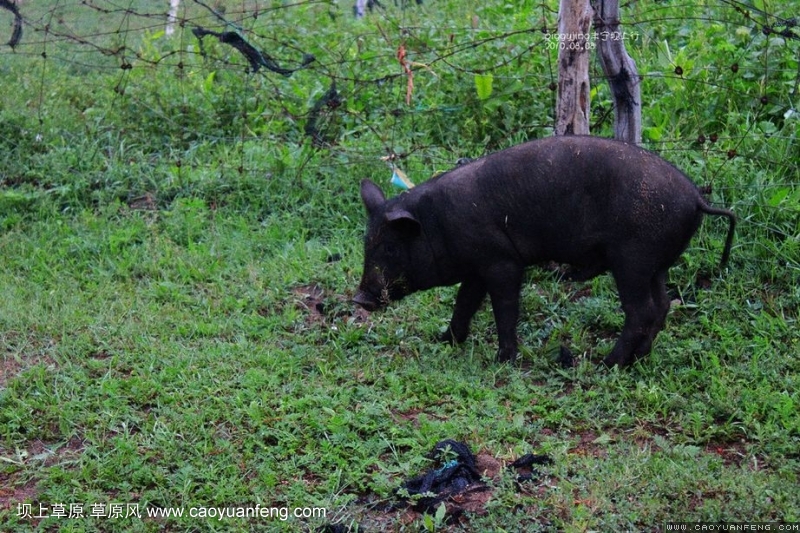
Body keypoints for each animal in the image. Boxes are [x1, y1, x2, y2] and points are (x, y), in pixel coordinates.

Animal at [354, 135, 736, 366]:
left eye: (390, 247)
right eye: (366, 243)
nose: (360, 298)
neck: (436, 223)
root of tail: (696, 198)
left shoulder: (502, 262)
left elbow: (504, 308)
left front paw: (503, 359)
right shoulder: (477, 266)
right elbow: (464, 303)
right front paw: (445, 340)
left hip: (633, 259)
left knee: (642, 310)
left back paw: (606, 363)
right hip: (656, 265)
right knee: (663, 305)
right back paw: (636, 360)